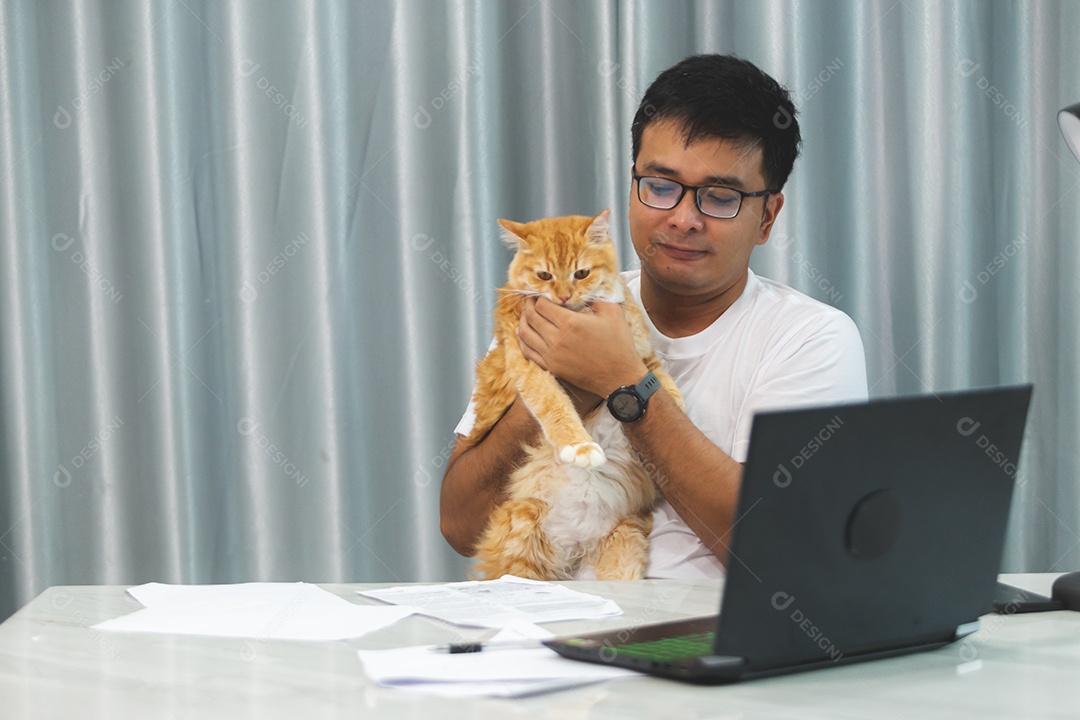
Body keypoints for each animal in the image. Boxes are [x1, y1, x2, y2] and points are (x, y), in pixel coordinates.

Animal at [464, 208, 682, 578]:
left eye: (581, 273)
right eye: (544, 275)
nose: (564, 296)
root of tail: (573, 546)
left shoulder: (640, 350)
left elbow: (658, 377)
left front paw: (677, 405)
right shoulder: (529, 366)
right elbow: (555, 405)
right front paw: (580, 446)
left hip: (623, 544)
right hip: (522, 530)